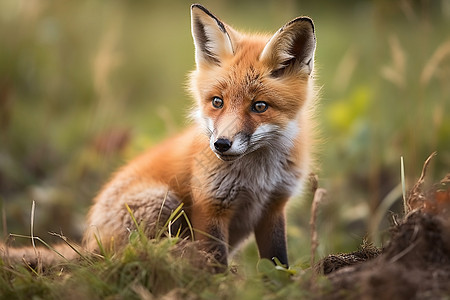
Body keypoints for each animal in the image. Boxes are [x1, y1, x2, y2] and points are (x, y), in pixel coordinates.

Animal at [0, 2, 316, 270]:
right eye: (217, 102)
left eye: (259, 106)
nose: (221, 144)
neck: (258, 176)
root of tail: (89, 244)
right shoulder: (210, 206)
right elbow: (216, 262)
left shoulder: (274, 206)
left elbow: (278, 261)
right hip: (163, 200)